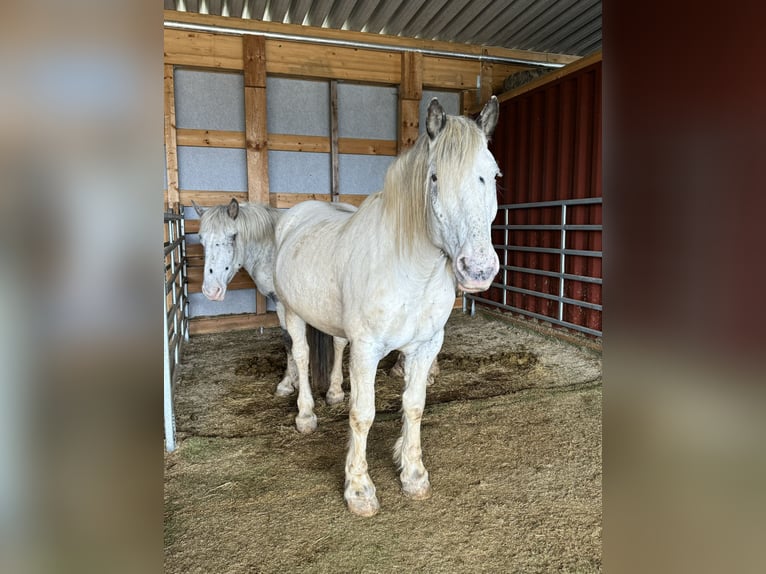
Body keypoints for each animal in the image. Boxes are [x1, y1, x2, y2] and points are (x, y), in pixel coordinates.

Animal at [192, 200, 348, 408]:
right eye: (201, 239)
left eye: (233, 235)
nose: (211, 291)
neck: (271, 247)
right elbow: (288, 340)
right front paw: (292, 381)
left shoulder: (285, 304)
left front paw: (290, 383)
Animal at [276, 98, 504, 516]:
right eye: (434, 178)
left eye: (494, 175)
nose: (478, 269)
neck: (410, 270)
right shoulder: (367, 349)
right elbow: (363, 415)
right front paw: (359, 489)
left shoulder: (426, 346)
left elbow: (414, 405)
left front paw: (413, 475)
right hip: (291, 311)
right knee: (299, 355)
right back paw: (306, 415)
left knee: (335, 347)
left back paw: (334, 394)